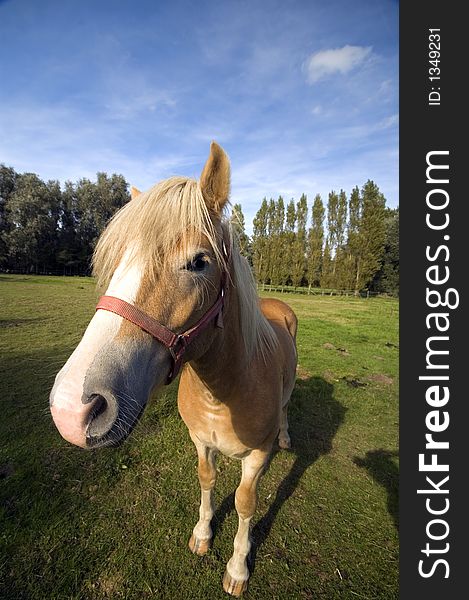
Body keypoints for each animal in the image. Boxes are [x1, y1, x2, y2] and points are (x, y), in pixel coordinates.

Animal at [50, 142, 296, 596]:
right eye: (119, 261)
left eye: (198, 262)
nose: (72, 409)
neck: (223, 392)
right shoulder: (200, 441)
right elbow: (207, 479)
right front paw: (202, 534)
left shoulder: (256, 457)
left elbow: (245, 503)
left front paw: (238, 568)